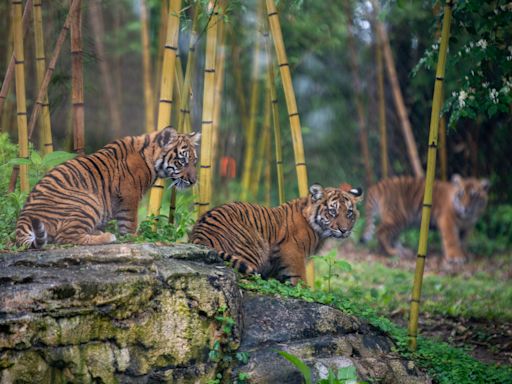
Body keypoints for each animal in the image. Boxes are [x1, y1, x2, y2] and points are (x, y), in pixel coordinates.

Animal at [16, 127, 200, 248]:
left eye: (194, 161)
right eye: (181, 162)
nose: (193, 181)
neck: (150, 160)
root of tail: (23, 219)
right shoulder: (130, 195)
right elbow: (129, 222)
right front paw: (135, 238)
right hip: (89, 201)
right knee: (65, 237)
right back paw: (107, 237)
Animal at [190, 183, 362, 284]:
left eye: (349, 213)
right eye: (332, 212)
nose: (344, 230)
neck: (320, 232)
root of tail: (198, 234)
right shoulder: (292, 252)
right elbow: (299, 278)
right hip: (254, 248)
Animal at [360, 175, 488, 262]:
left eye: (473, 196)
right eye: (461, 194)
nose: (465, 208)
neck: (467, 217)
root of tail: (377, 185)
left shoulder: (467, 227)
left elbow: (462, 241)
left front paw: (464, 254)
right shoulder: (447, 221)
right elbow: (452, 239)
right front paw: (456, 257)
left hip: (401, 221)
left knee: (393, 235)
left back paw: (403, 250)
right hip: (397, 217)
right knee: (381, 232)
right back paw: (393, 252)